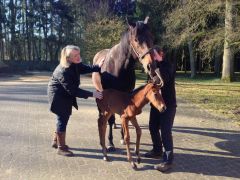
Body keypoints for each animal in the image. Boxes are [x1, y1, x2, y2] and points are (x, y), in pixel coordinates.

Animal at [92, 17, 161, 150]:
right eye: (136, 39)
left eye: (151, 37)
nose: (151, 66)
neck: (119, 67)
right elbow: (110, 119)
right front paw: (110, 142)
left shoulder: (126, 95)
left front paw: (122, 137)